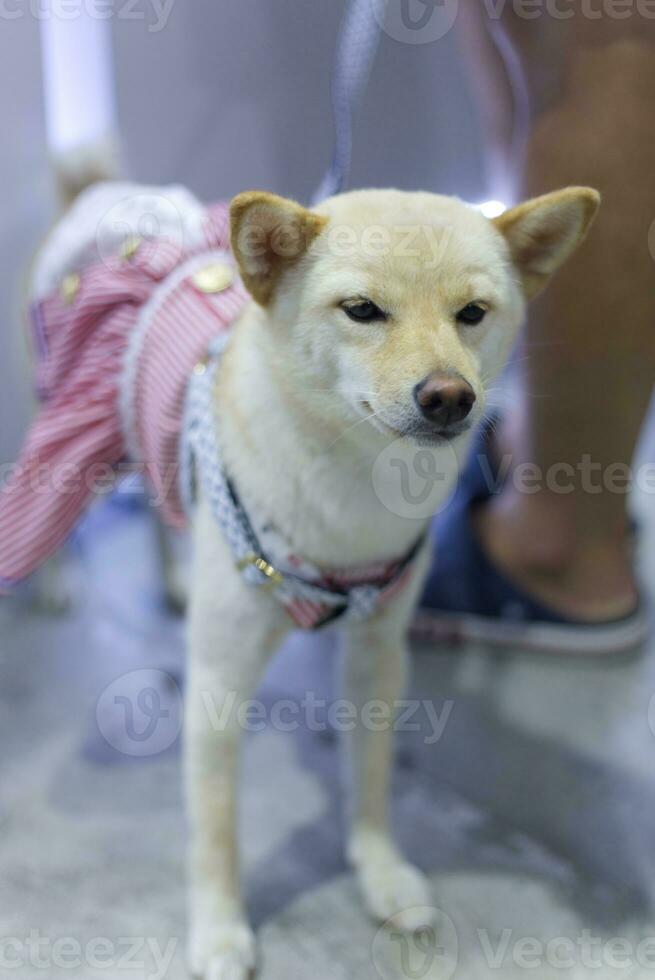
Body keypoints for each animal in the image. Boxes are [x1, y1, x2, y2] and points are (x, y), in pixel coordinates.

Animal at [0, 180, 600, 976]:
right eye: (362, 310)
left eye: (472, 314)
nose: (449, 396)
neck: (351, 485)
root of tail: (107, 190)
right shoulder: (219, 682)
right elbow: (215, 828)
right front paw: (219, 929)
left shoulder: (378, 656)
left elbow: (371, 781)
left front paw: (378, 872)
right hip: (60, 424)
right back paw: (56, 580)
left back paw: (174, 576)